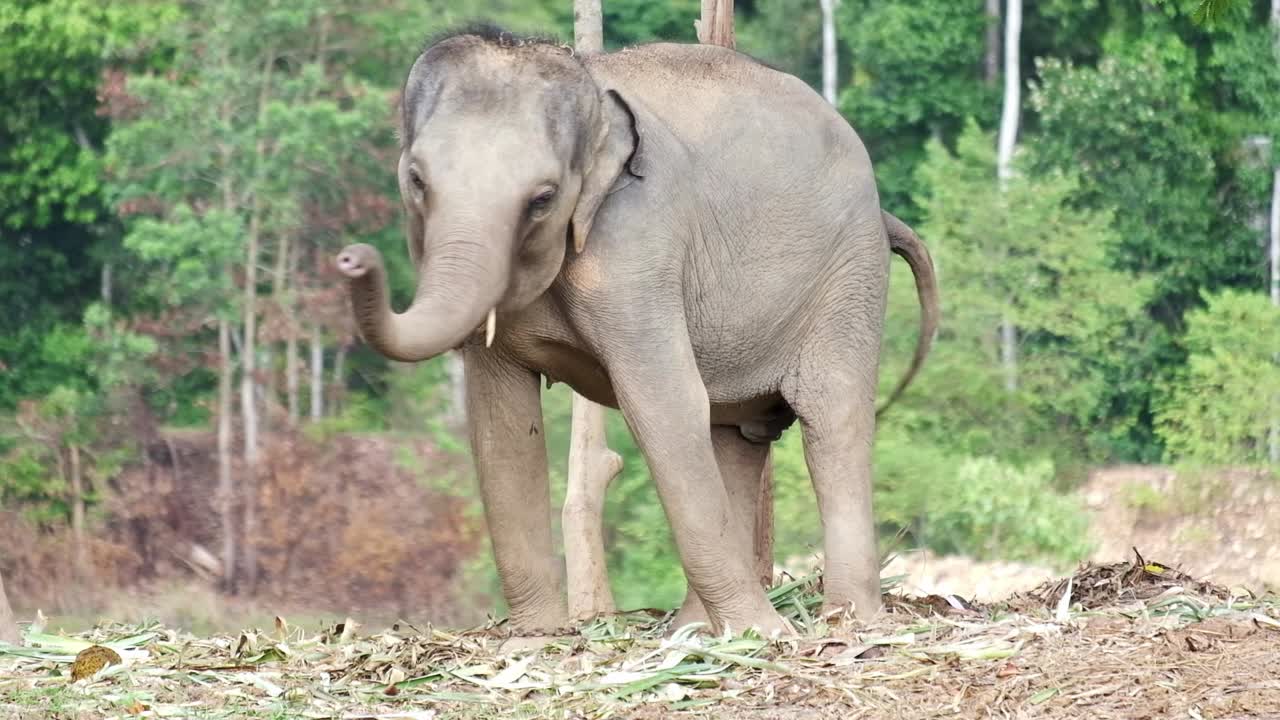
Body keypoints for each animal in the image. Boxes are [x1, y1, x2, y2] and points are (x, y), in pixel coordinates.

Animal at [335, 25, 940, 638]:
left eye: (543, 198)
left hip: (849, 279)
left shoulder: (637, 244)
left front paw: (767, 636)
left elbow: (665, 405)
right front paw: (534, 640)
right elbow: (501, 422)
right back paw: (697, 631)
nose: (351, 258)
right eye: (417, 181)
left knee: (832, 418)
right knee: (735, 432)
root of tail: (882, 215)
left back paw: (849, 623)